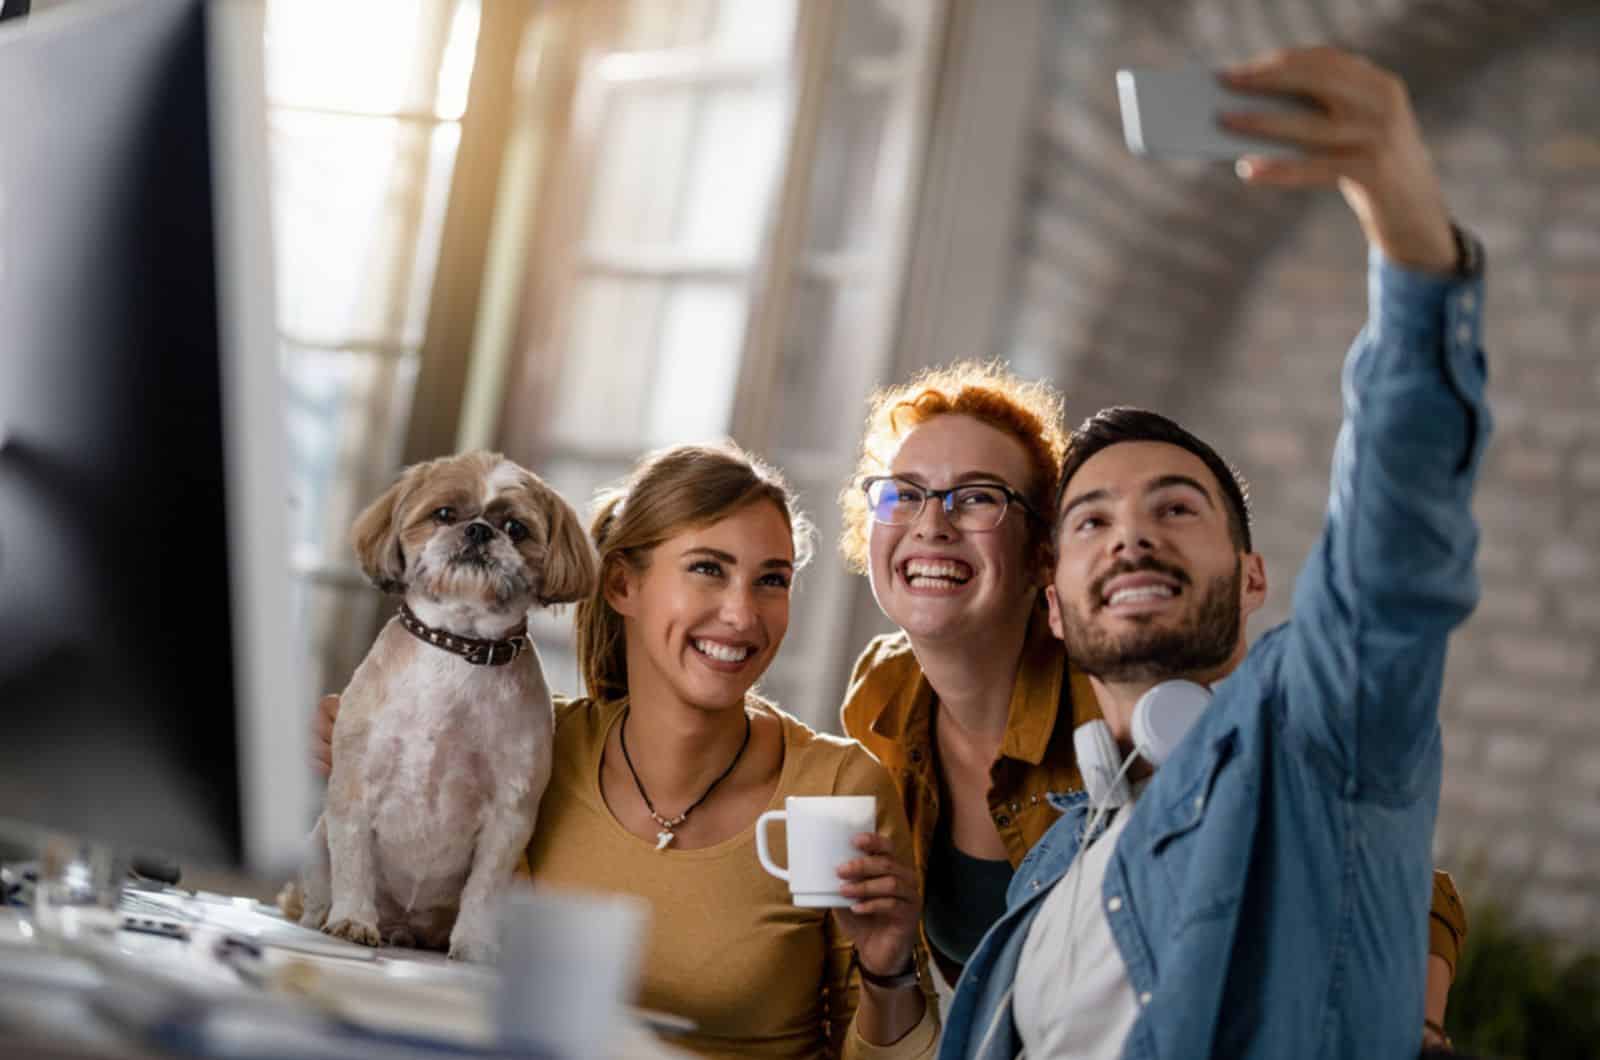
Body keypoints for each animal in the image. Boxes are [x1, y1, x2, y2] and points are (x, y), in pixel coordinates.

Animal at [292, 451, 595, 967]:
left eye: (515, 527)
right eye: (445, 514)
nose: (477, 531)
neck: (457, 649)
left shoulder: (509, 815)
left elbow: (484, 889)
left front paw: (475, 945)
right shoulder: (355, 786)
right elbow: (353, 862)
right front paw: (353, 920)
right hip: (316, 841)